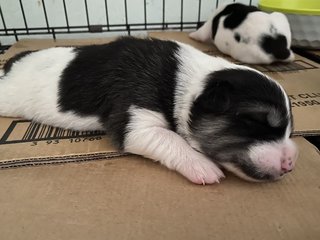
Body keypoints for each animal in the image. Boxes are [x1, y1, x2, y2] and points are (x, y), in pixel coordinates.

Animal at [0, 37, 298, 184]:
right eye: (254, 120)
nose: (290, 164)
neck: (181, 79)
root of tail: (12, 62)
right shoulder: (135, 118)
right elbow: (170, 138)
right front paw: (202, 165)